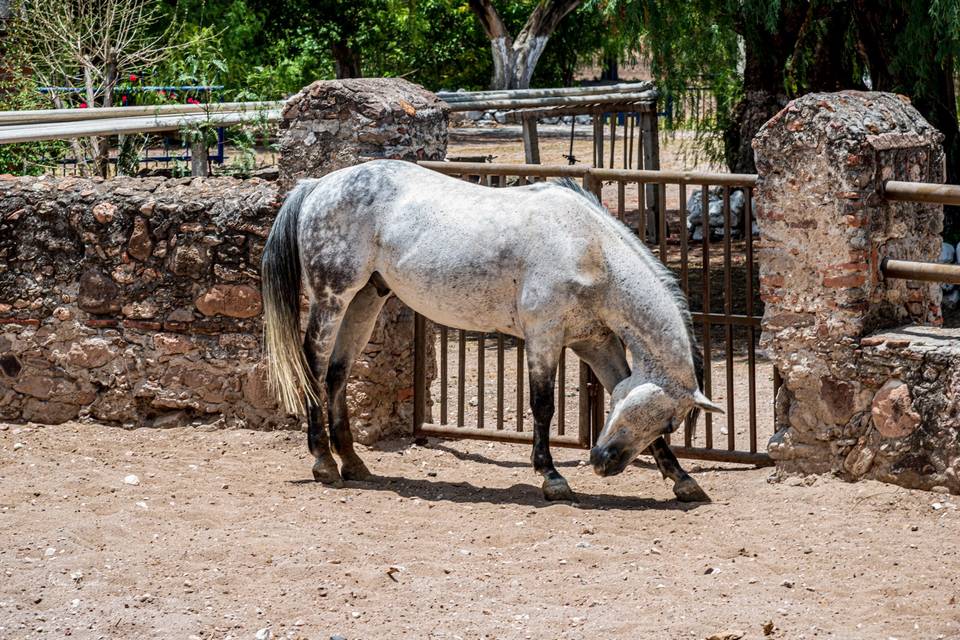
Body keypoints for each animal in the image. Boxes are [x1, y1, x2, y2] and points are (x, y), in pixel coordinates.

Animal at [260, 159, 720, 500]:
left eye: (668, 425)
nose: (605, 462)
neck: (591, 250)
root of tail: (319, 185)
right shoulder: (544, 337)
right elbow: (543, 406)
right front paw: (552, 477)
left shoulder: (596, 343)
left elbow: (614, 384)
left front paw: (683, 480)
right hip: (332, 299)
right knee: (314, 368)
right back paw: (323, 462)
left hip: (366, 300)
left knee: (337, 375)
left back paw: (352, 462)